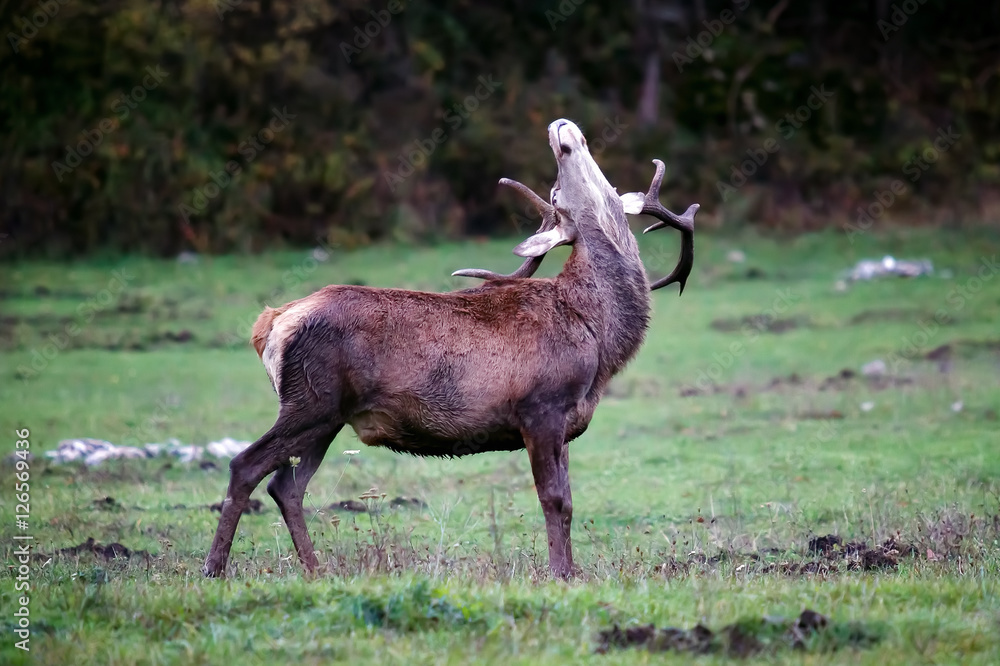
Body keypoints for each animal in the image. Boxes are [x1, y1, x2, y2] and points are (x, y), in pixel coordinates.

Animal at [202, 118, 698, 579]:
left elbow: (571, 501)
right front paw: (559, 573)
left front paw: (572, 571)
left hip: (328, 415)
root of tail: (271, 323)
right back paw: (215, 567)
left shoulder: (566, 421)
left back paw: (314, 569)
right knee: (245, 465)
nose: (564, 129)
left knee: (286, 485)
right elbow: (554, 498)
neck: (597, 335)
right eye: (557, 196)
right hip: (310, 400)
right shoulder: (541, 407)